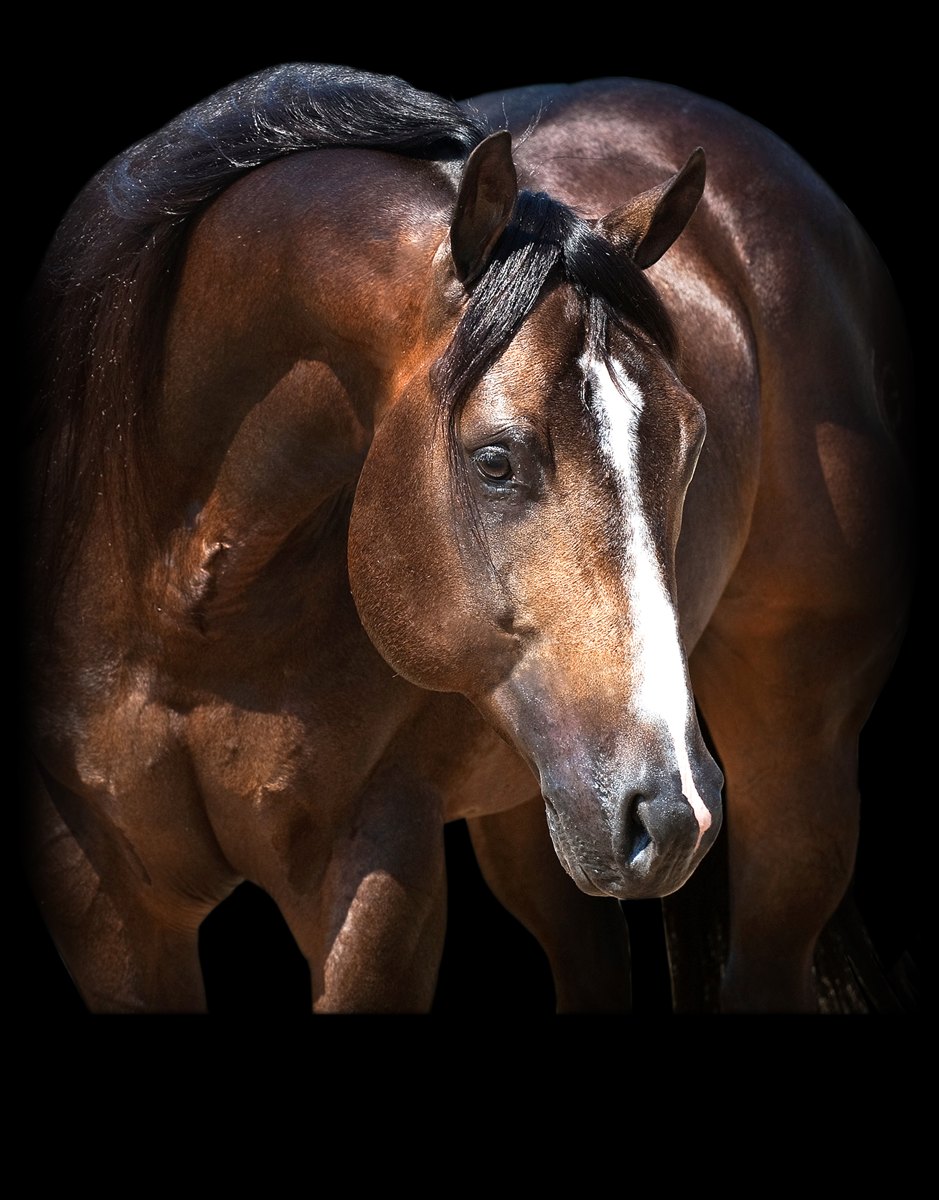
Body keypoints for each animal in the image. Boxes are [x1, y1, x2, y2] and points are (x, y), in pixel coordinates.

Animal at [20, 63, 914, 1014]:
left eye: (691, 442)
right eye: (494, 460)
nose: (672, 810)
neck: (185, 609)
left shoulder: (379, 865)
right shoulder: (101, 892)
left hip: (793, 773)